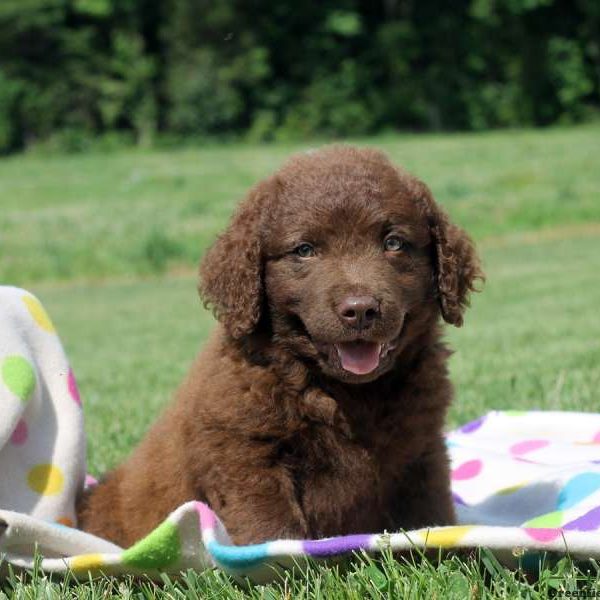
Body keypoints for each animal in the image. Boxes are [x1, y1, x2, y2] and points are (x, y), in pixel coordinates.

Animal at [78, 146, 482, 548]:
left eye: (394, 243)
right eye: (304, 250)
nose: (360, 310)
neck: (346, 394)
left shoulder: (422, 450)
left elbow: (431, 512)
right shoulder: (246, 457)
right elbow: (270, 527)